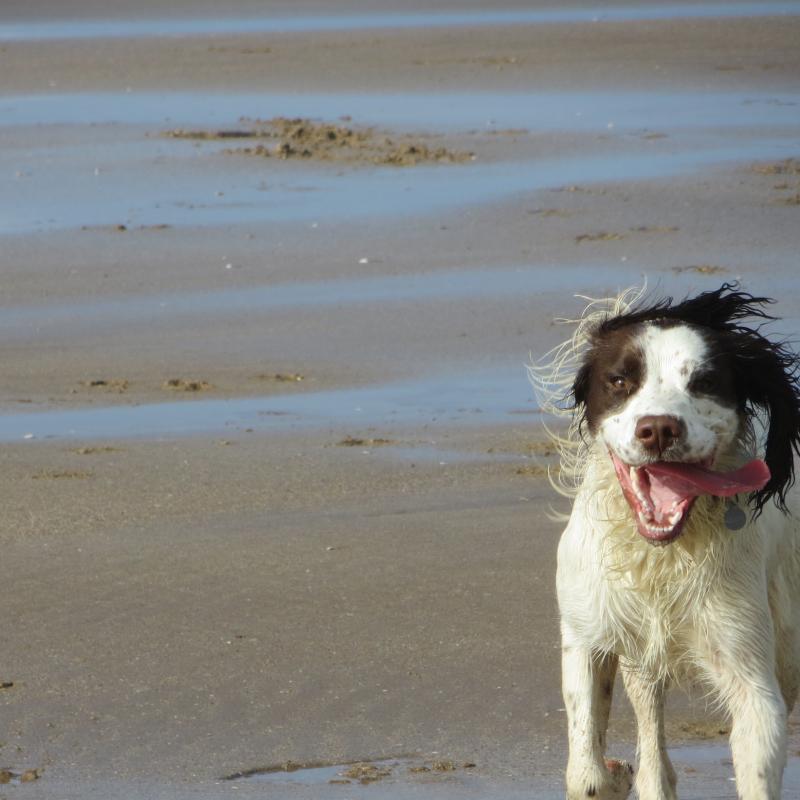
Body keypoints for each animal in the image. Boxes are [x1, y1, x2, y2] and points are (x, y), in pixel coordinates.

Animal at [532, 286, 800, 800]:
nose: (658, 429)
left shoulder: (753, 682)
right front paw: (612, 774)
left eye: (706, 381)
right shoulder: (587, 635)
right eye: (620, 380)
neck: (663, 555)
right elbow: (586, 773)